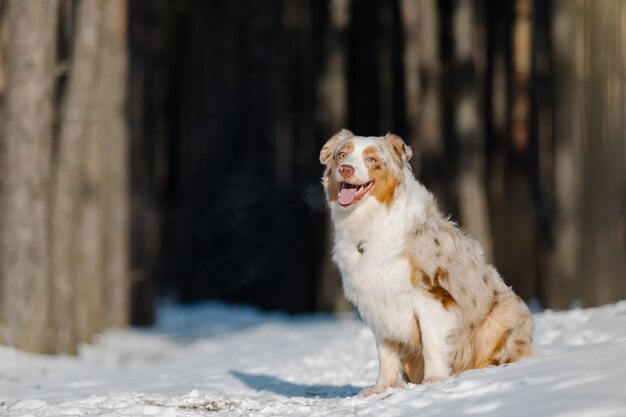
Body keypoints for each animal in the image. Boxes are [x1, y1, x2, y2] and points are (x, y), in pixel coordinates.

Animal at [320, 128, 532, 394]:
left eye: (372, 159)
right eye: (342, 155)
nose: (346, 169)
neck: (370, 224)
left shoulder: (430, 296)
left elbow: (432, 342)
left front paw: (434, 381)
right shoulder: (377, 302)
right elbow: (385, 354)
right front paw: (381, 389)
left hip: (504, 312)